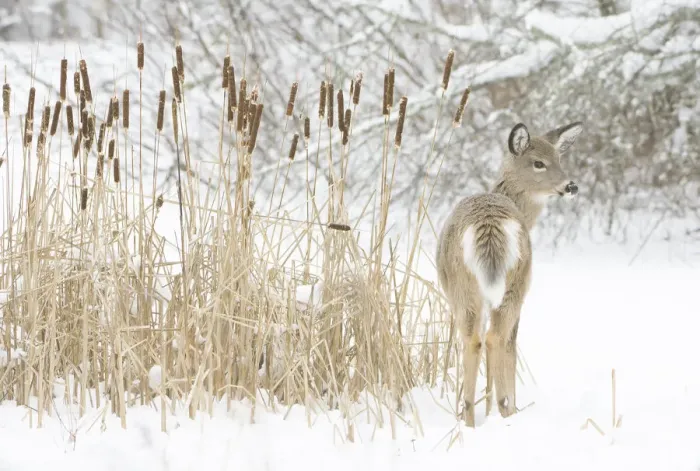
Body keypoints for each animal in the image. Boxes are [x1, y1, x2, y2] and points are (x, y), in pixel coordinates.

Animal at [436, 121, 583, 427]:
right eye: (538, 162)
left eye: (559, 158)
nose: (571, 185)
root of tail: (490, 224)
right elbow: (510, 346)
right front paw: (502, 405)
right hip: (514, 283)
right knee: (495, 338)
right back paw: (501, 410)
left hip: (466, 288)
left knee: (477, 340)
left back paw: (474, 415)